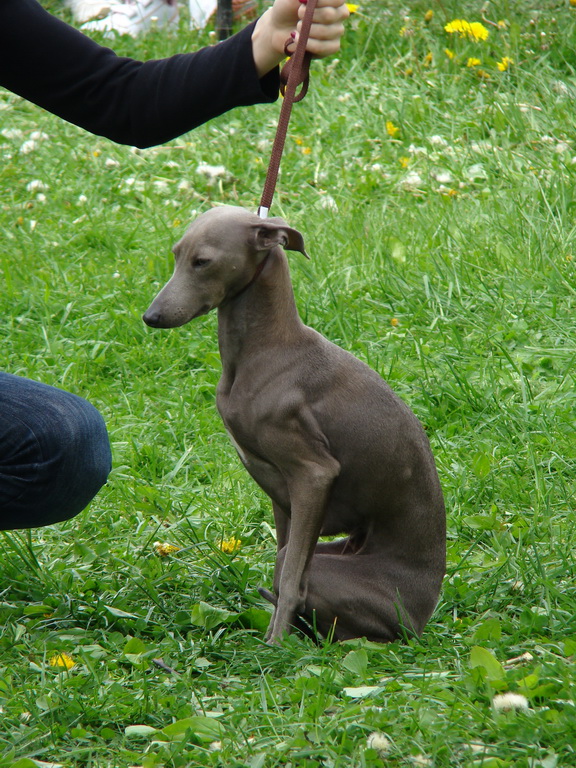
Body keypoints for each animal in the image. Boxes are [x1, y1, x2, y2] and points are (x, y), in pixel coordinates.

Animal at [143, 207, 446, 644]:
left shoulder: (313, 475)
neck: (268, 349)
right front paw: (274, 637)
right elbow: (283, 569)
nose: (151, 317)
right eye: (176, 255)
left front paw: (274, 645)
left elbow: (290, 580)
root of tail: (420, 621)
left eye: (203, 261)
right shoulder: (285, 496)